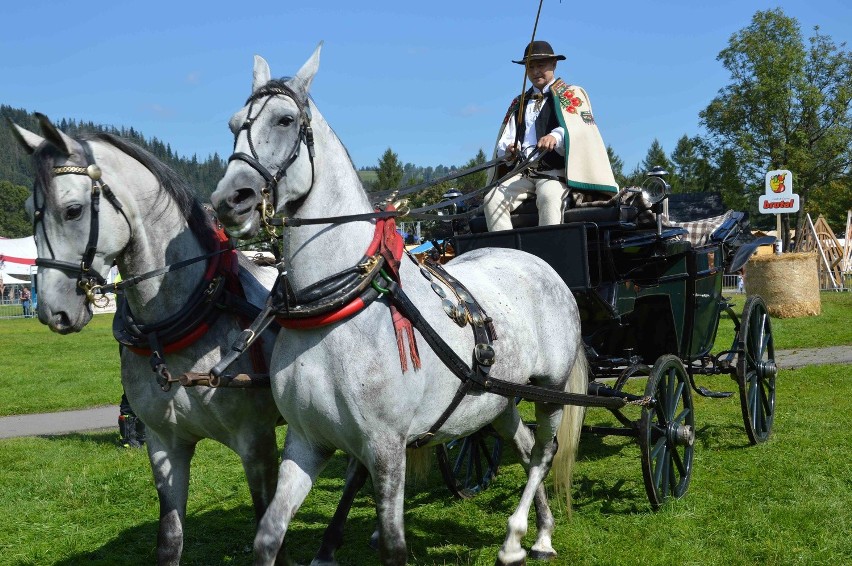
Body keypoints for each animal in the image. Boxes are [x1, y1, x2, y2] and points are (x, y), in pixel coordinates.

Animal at [10, 116, 350, 566]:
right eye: (29, 211)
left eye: (73, 210)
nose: (53, 311)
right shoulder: (164, 445)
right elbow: (170, 538)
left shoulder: (256, 443)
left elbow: (266, 520)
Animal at [210, 46, 588, 564]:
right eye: (232, 124)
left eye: (285, 119)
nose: (231, 201)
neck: (337, 312)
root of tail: (539, 263)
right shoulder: (306, 442)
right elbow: (268, 535)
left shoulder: (386, 447)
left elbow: (393, 543)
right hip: (498, 396)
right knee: (526, 443)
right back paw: (539, 531)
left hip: (550, 389)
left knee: (543, 453)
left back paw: (518, 536)